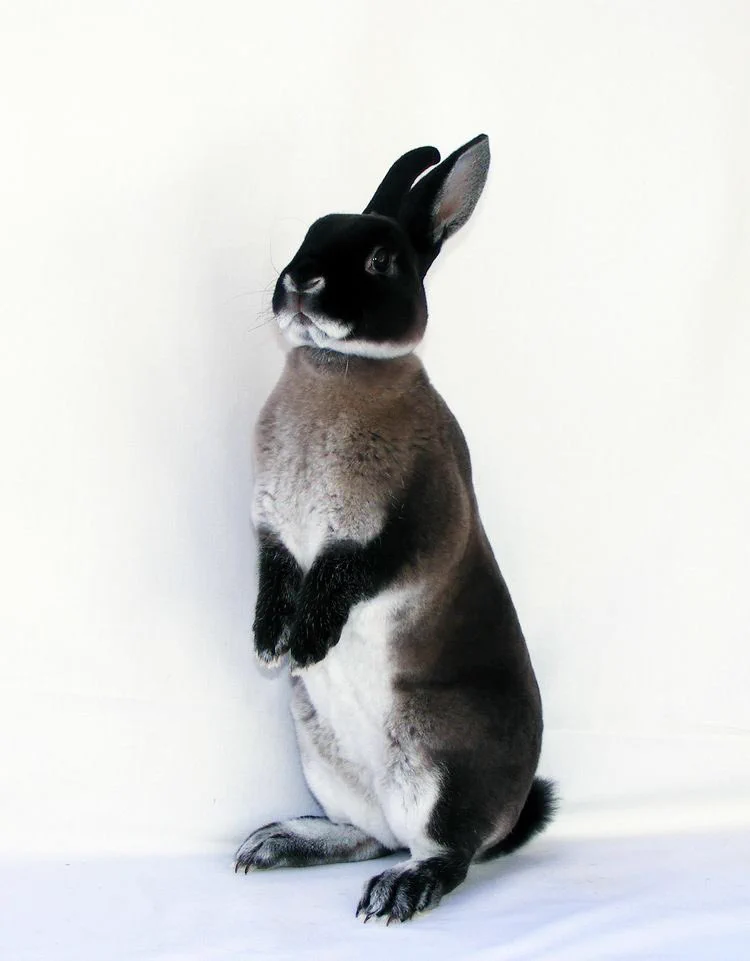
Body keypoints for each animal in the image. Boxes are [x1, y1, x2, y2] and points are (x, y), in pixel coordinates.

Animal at [234, 134, 556, 923]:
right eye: (311, 233)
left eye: (381, 261)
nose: (300, 282)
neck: (336, 368)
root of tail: (508, 813)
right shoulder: (273, 533)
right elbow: (277, 575)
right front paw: (269, 642)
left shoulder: (415, 522)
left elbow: (351, 571)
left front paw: (308, 640)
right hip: (327, 761)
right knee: (369, 836)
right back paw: (277, 842)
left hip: (438, 769)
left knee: (447, 852)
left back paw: (399, 891)